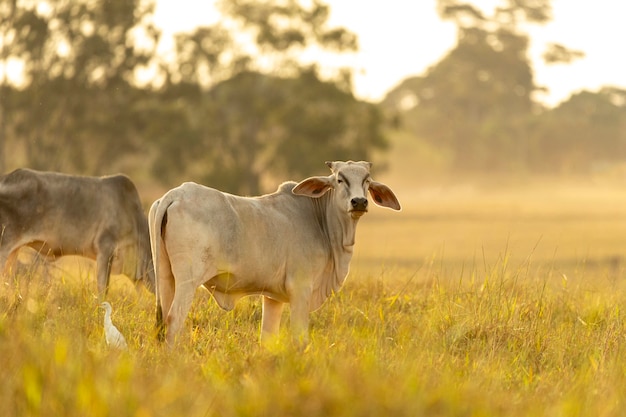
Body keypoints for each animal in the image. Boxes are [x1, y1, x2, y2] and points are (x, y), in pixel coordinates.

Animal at [149, 160, 398, 344]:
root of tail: (176, 194)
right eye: (340, 179)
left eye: (367, 180)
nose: (359, 202)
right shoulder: (301, 289)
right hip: (187, 281)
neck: (320, 221)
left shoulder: (272, 298)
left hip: (165, 277)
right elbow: (299, 339)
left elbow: (267, 338)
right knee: (173, 320)